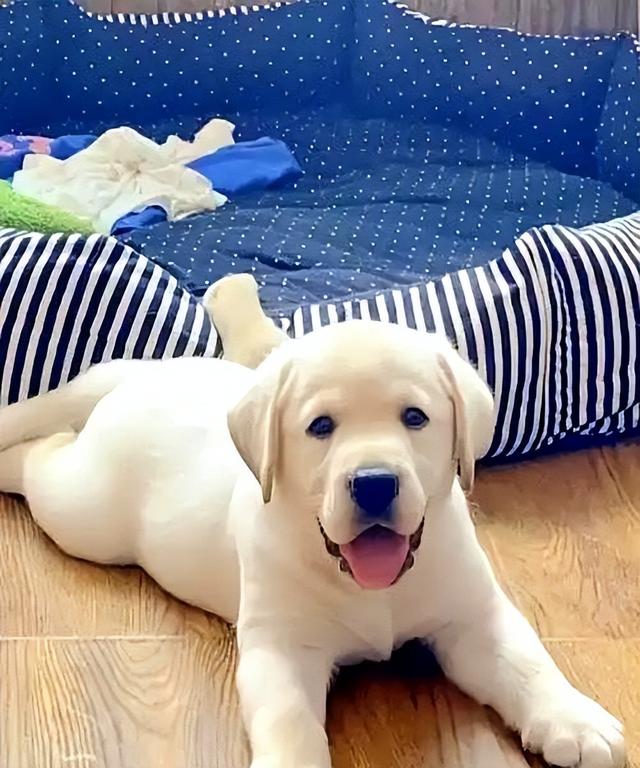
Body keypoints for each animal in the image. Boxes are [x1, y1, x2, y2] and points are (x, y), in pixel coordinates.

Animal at [0, 276, 624, 768]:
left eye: (415, 417)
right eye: (320, 427)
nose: (374, 482)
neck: (371, 585)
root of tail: (138, 381)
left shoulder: (472, 615)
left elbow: (526, 659)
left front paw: (576, 720)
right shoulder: (280, 647)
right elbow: (289, 718)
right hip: (84, 509)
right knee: (41, 459)